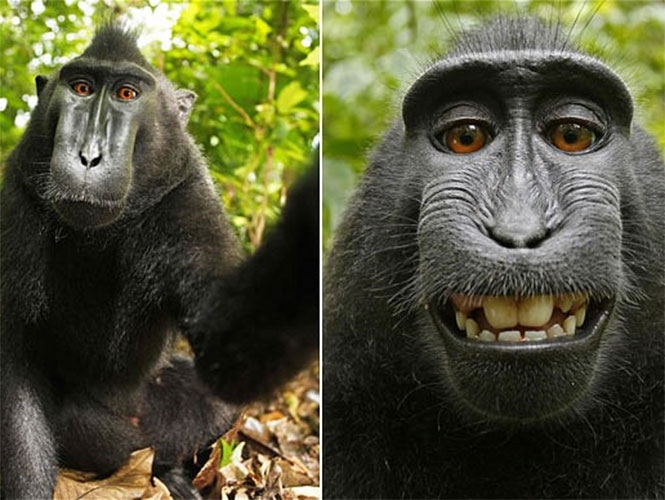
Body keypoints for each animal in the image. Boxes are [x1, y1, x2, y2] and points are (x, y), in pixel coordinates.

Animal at [0, 24, 318, 499]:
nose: (89, 157)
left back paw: (171, 475)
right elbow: (13, 377)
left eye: (127, 94)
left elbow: (231, 349)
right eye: (81, 88)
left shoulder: (187, 200)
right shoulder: (16, 205)